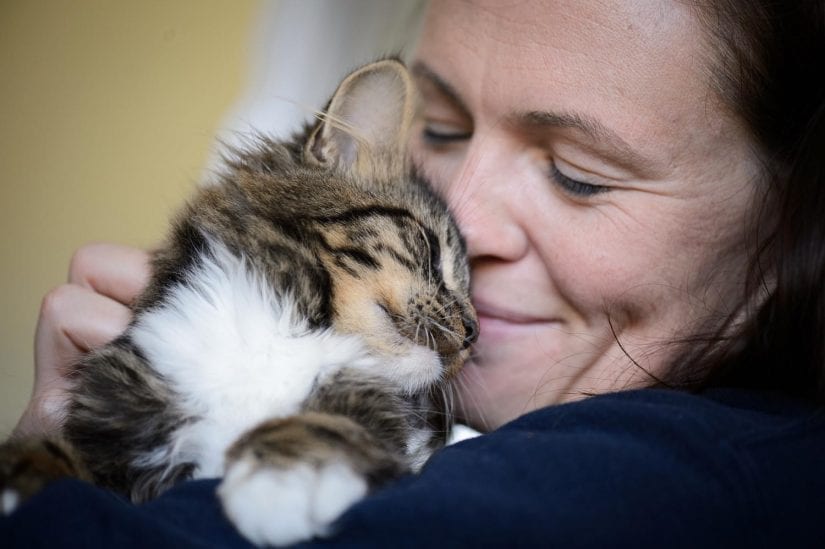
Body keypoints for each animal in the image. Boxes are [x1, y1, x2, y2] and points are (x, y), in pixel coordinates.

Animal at [0, 60, 476, 544]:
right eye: (431, 249)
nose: (474, 333)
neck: (281, 336)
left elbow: (330, 424)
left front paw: (284, 478)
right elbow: (55, 452)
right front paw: (21, 472)